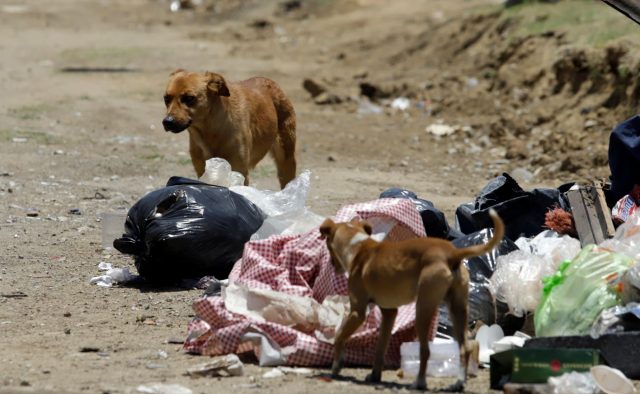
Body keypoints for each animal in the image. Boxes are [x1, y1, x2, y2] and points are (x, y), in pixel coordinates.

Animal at [162, 70, 298, 189]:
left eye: (189, 98)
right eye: (166, 98)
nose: (167, 122)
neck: (210, 131)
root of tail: (271, 82)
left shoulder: (239, 171)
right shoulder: (203, 171)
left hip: (285, 158)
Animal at [320, 209, 504, 390]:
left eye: (327, 245)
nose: (333, 265)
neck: (358, 247)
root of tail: (452, 252)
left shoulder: (357, 312)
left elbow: (339, 336)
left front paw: (336, 366)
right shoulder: (389, 313)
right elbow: (380, 348)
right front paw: (374, 376)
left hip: (422, 309)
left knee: (426, 351)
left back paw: (419, 382)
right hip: (458, 310)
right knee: (465, 348)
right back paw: (458, 383)